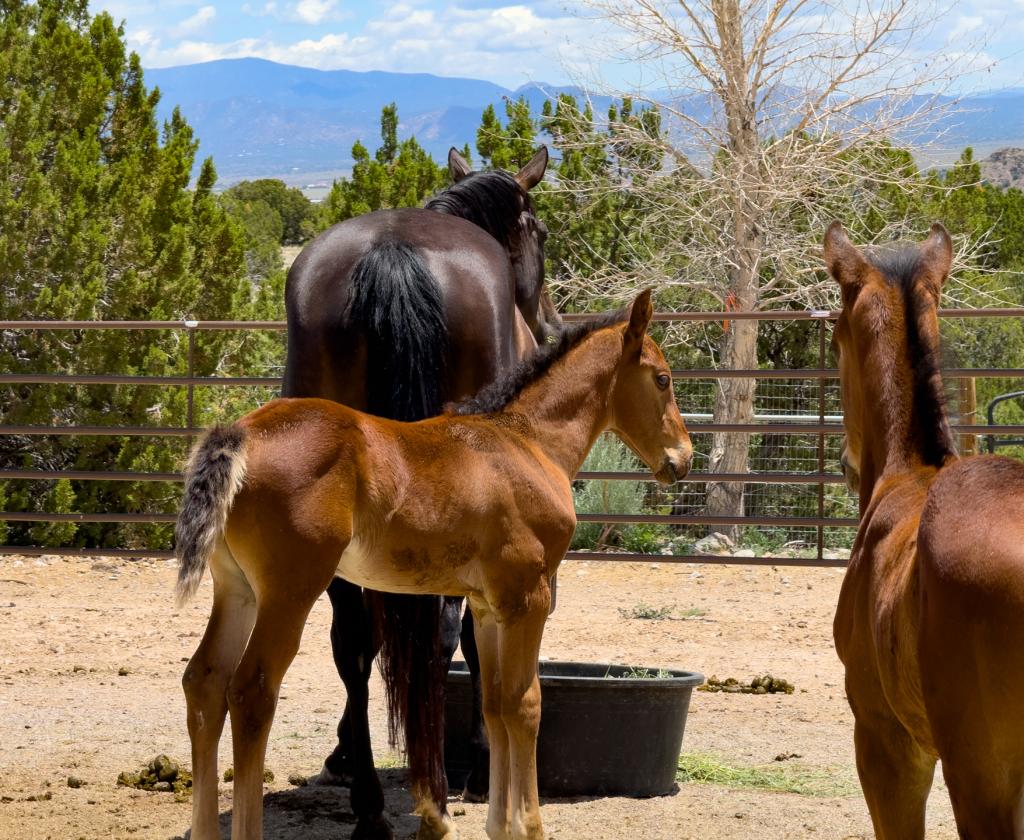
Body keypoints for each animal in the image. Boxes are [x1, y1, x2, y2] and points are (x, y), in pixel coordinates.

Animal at [177, 289, 693, 840]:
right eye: (663, 378)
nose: (683, 458)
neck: (528, 443)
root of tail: (242, 434)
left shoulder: (488, 607)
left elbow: (495, 704)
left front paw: (499, 825)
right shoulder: (529, 597)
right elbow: (526, 703)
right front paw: (530, 826)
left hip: (239, 590)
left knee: (204, 681)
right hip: (290, 593)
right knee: (251, 692)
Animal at [279, 145, 558, 838]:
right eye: (539, 232)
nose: (548, 321)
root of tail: (393, 253)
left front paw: (343, 757)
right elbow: (476, 643)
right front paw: (481, 768)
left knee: (353, 642)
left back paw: (371, 808)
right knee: (438, 632)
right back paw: (433, 793)